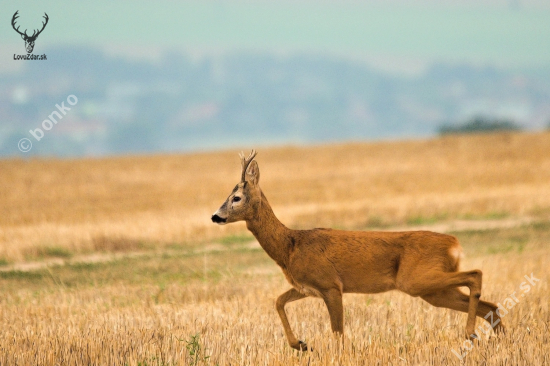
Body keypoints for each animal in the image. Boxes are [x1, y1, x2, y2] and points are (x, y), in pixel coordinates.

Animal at [212, 150, 508, 350]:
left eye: (236, 197)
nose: (216, 216)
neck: (290, 247)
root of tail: (453, 243)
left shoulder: (331, 284)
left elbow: (338, 332)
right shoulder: (306, 287)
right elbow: (278, 301)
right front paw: (301, 344)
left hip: (416, 279)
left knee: (476, 274)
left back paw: (471, 334)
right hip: (433, 290)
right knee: (490, 305)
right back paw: (502, 340)